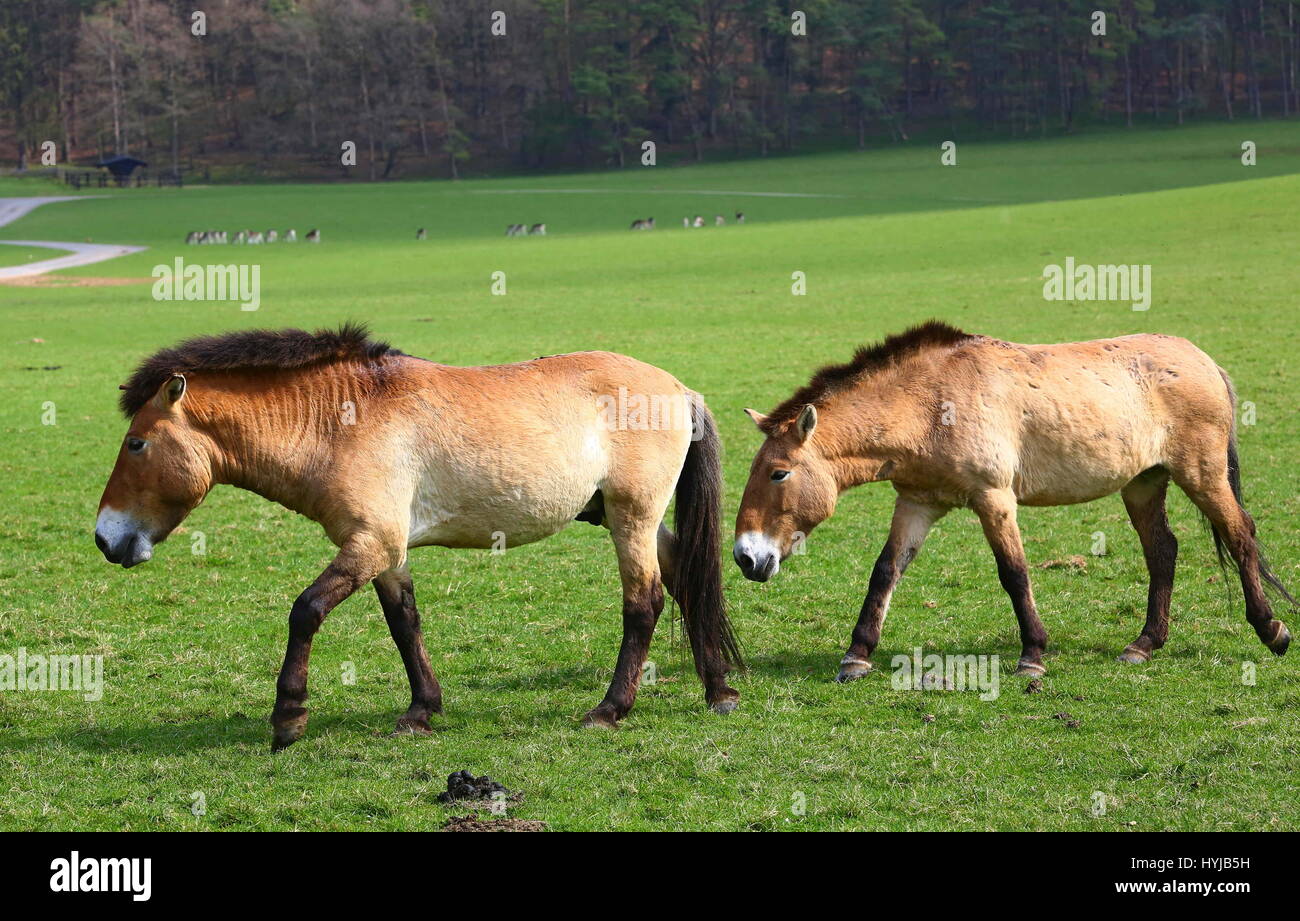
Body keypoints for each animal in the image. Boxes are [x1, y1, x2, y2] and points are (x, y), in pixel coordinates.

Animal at [94, 323, 743, 749]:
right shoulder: (385, 550)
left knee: (644, 602)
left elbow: (305, 611)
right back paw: (717, 689)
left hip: (632, 519)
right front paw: (421, 710)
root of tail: (680, 390)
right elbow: (404, 623)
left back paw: (611, 708)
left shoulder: (371, 542)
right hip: (626, 517)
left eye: (137, 443)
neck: (340, 419)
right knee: (686, 579)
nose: (105, 538)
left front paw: (289, 717)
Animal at [738, 322, 1294, 676]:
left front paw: (1033, 656)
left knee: (1240, 534)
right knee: (1163, 550)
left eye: (779, 473)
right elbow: (885, 572)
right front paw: (857, 655)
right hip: (1144, 483)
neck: (931, 404)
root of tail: (1203, 359)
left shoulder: (994, 498)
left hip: (1201, 475)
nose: (746, 556)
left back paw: (1271, 630)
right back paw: (1144, 644)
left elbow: (1014, 573)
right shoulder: (917, 503)